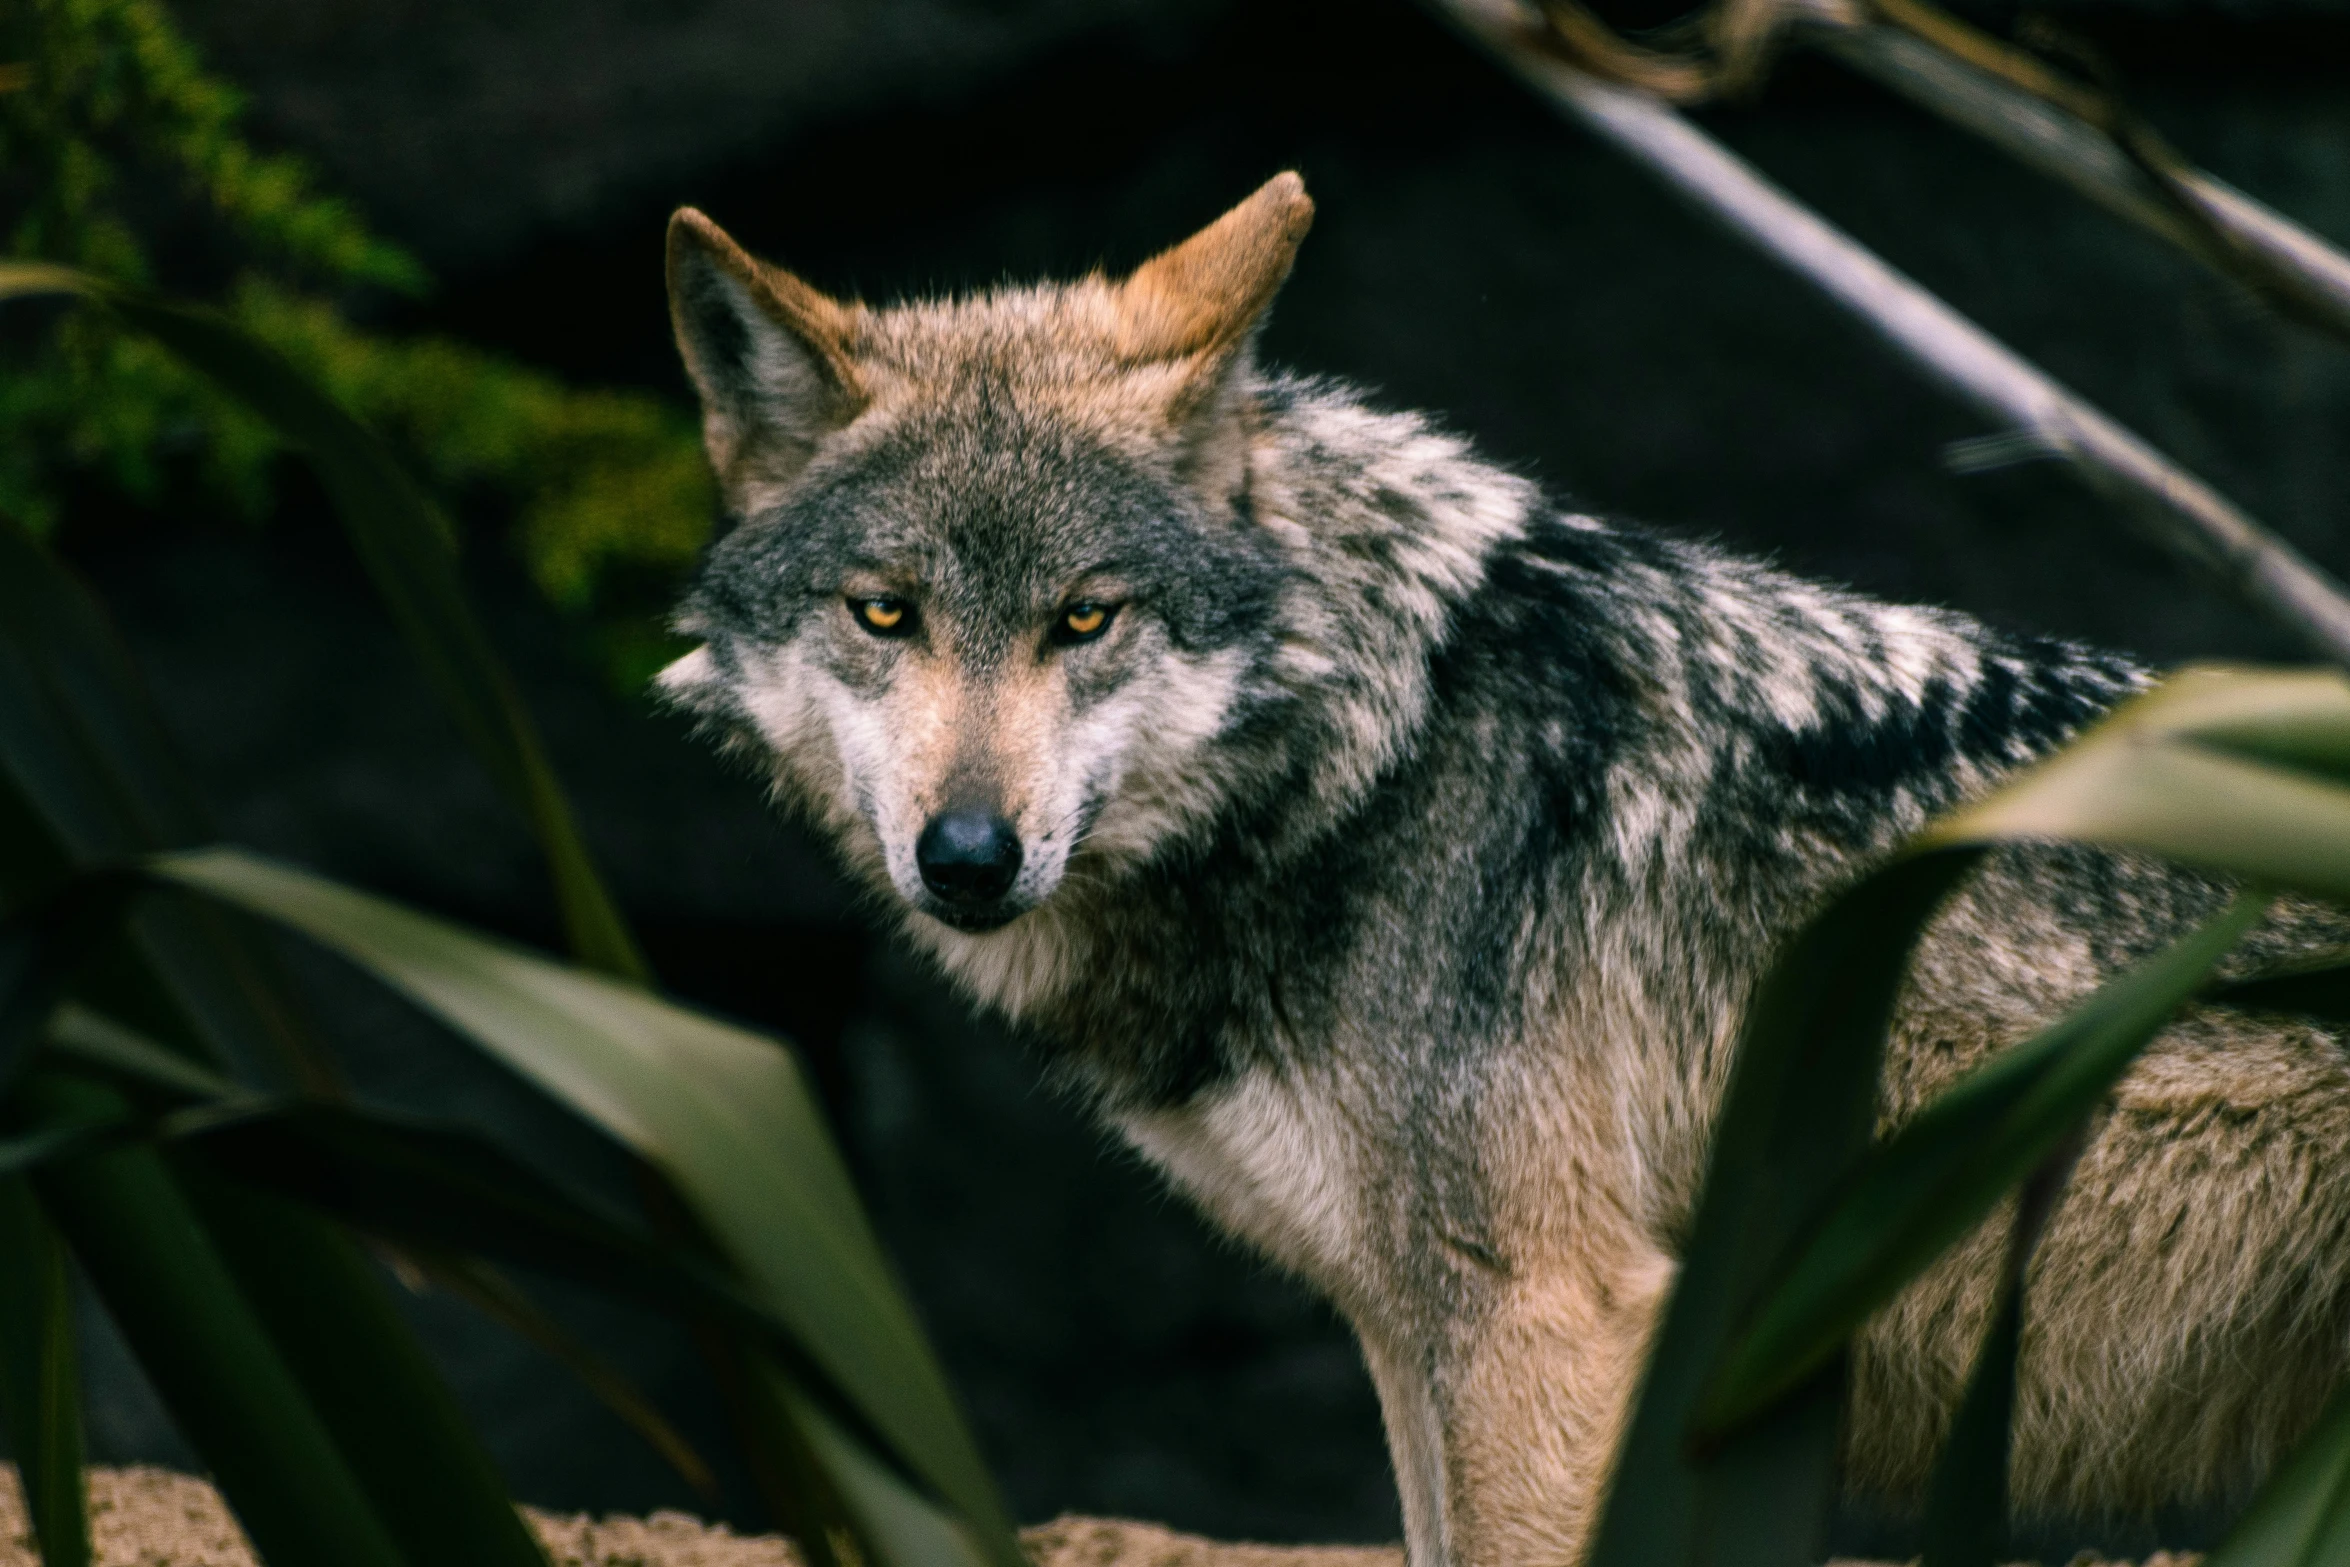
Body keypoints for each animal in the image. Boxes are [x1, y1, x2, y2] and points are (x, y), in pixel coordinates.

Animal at [653, 175, 2350, 1567]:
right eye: (884, 612)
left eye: (1085, 616)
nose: (966, 856)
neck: (1374, 750)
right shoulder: (1410, 1326)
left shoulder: (1545, 1316)